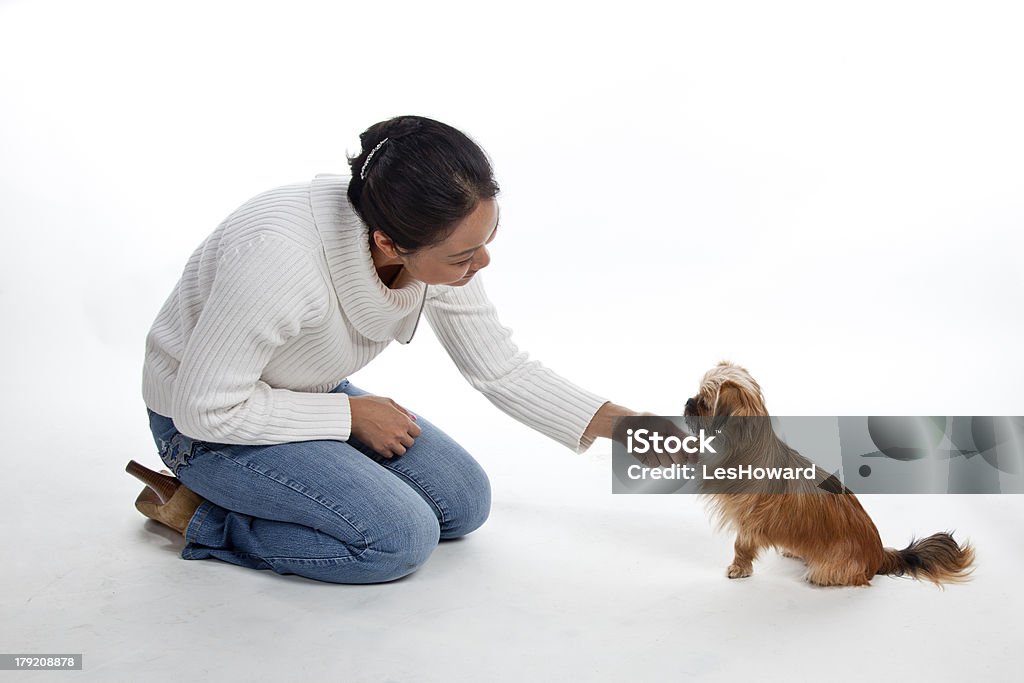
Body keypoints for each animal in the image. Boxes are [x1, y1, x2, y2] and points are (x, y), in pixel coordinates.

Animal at [684, 360, 970, 589]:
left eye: (704, 403)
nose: (688, 402)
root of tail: (878, 554)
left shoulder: (747, 521)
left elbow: (741, 546)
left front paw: (738, 568)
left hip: (831, 568)